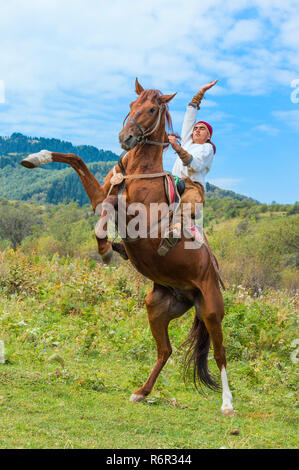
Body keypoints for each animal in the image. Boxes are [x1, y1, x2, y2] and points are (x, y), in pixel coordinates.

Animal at [22, 78, 236, 414]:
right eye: (132, 105)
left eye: (151, 110)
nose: (125, 138)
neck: (137, 170)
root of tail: (196, 288)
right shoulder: (100, 194)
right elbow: (76, 161)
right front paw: (35, 157)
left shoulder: (141, 222)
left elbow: (112, 207)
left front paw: (106, 249)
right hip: (157, 306)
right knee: (165, 351)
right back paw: (142, 392)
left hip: (212, 308)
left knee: (220, 352)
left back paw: (227, 403)